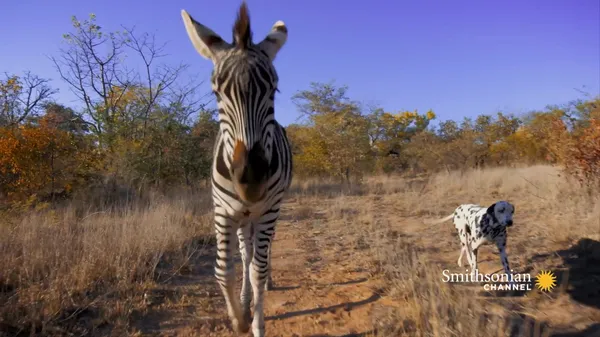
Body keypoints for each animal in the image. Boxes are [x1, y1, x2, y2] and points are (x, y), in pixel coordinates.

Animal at [180, 3, 292, 336]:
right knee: (245, 253)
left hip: (268, 211)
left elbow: (258, 268)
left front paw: (256, 324)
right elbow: (224, 269)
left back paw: (266, 285)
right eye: (216, 93)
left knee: (260, 255)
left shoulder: (269, 209)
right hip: (242, 215)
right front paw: (238, 318)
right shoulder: (222, 209)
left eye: (274, 90)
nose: (251, 181)